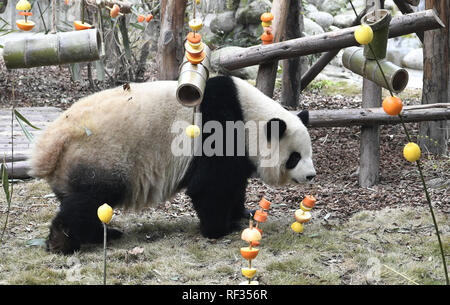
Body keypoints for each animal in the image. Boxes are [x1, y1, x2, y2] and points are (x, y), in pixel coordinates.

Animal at [29, 76, 316, 254]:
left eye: (308, 153)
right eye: (295, 157)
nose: (311, 176)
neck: (250, 117)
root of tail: (52, 143)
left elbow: (235, 184)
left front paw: (242, 213)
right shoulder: (219, 129)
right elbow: (210, 186)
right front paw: (219, 229)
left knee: (84, 204)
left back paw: (101, 233)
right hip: (102, 156)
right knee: (88, 200)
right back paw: (64, 243)